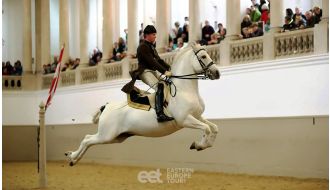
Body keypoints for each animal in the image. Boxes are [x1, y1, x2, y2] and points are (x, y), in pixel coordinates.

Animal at [65, 43, 220, 166]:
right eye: (204, 56)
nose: (217, 73)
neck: (185, 89)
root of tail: (106, 106)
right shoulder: (185, 120)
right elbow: (206, 129)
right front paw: (199, 145)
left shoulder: (197, 116)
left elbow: (214, 128)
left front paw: (200, 145)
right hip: (106, 135)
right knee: (87, 140)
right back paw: (72, 157)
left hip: (116, 137)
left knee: (88, 140)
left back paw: (73, 158)